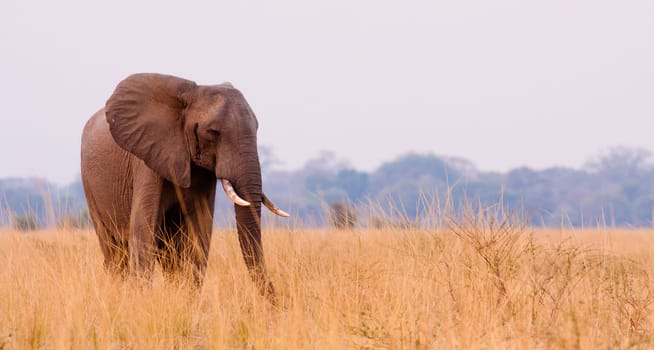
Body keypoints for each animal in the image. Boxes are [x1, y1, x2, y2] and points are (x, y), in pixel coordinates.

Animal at [80, 73, 290, 298]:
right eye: (213, 132)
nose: (277, 300)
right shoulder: (146, 161)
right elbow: (142, 231)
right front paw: (143, 298)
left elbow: (199, 234)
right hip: (89, 185)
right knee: (115, 253)